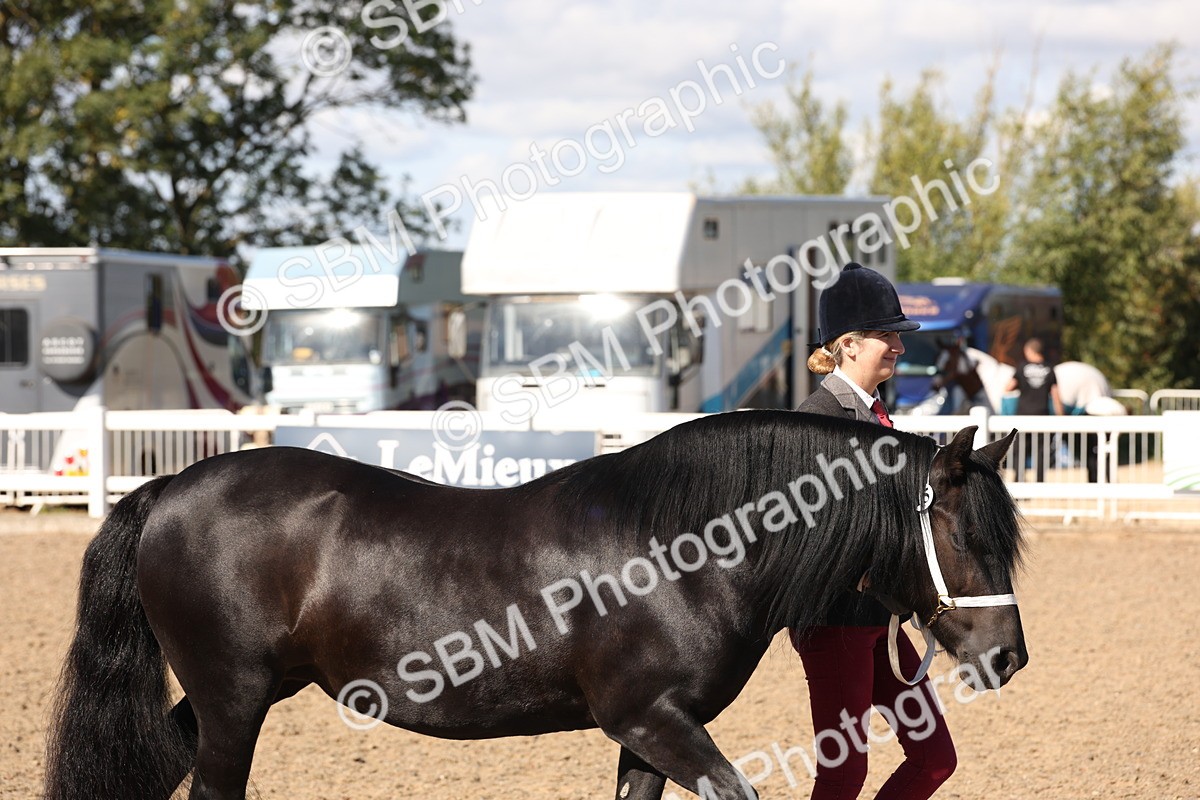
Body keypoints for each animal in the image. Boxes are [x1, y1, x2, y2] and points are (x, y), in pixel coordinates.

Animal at [45, 411, 1028, 800]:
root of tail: (168, 489)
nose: (1007, 656)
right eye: (963, 536)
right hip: (233, 700)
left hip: (231, 697)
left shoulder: (646, 731)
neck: (683, 547)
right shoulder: (654, 719)